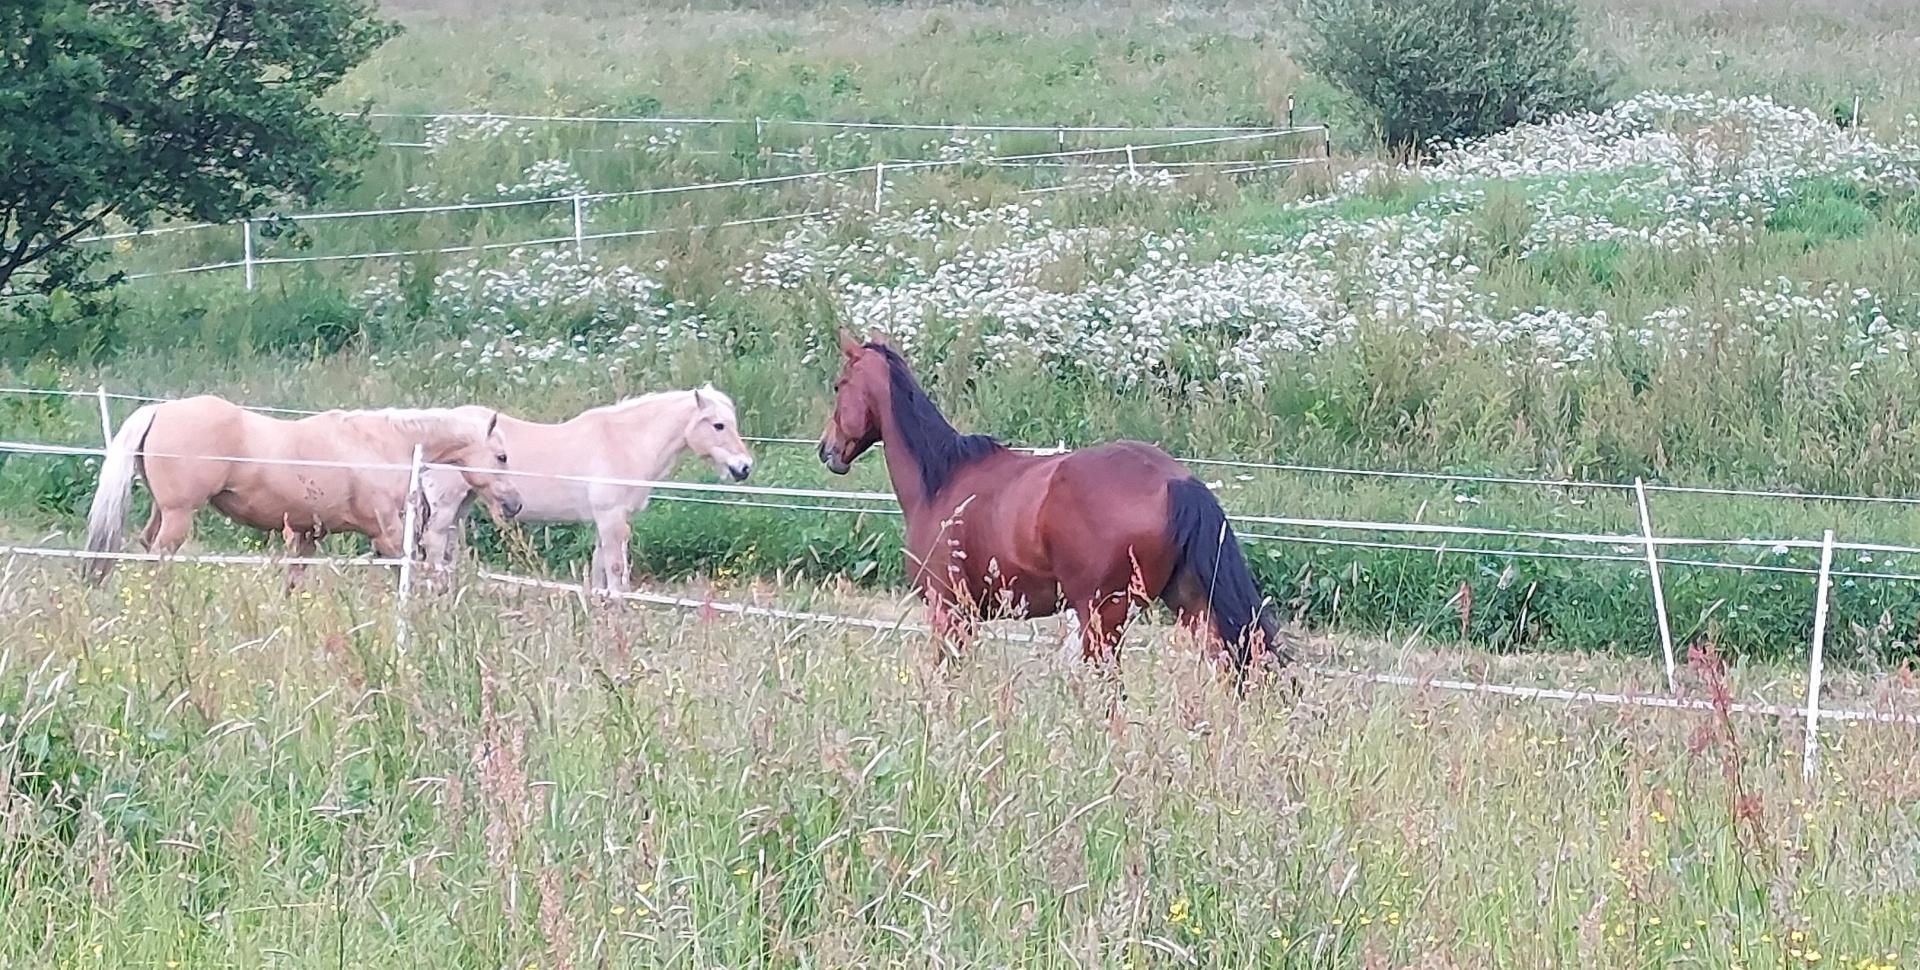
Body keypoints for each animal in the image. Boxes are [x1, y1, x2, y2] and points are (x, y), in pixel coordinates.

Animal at [84, 393, 526, 583]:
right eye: (502, 456)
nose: (515, 504)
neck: (382, 443)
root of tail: (160, 409)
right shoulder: (386, 533)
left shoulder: (307, 535)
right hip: (179, 515)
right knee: (160, 555)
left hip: (163, 511)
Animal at [420, 386, 756, 591]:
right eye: (718, 425)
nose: (744, 467)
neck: (623, 442)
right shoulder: (611, 518)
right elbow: (616, 569)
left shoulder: (605, 522)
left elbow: (600, 568)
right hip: (448, 504)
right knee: (434, 544)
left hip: (464, 503)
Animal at [814, 328, 1290, 676]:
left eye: (839, 385)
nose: (826, 450)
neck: (941, 479)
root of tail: (1176, 479)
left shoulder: (949, 613)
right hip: (1190, 605)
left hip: (1104, 618)